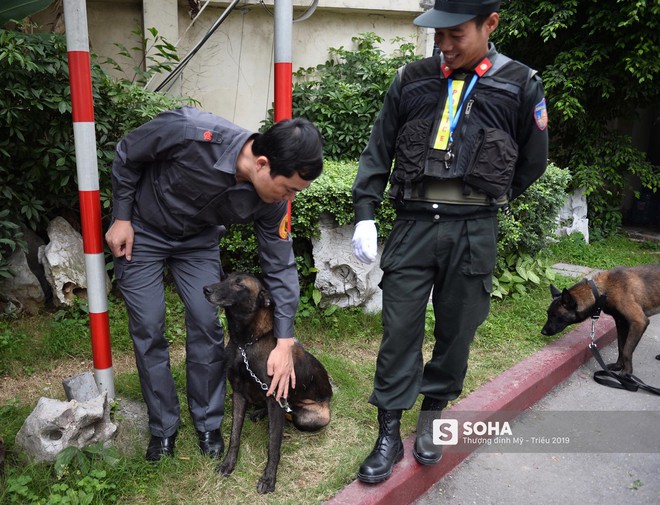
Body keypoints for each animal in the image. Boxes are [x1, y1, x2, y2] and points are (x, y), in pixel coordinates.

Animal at [202, 272, 332, 492]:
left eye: (239, 284)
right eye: (225, 278)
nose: (205, 289)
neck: (245, 344)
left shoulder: (275, 399)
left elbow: (273, 445)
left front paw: (269, 478)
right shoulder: (238, 394)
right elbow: (234, 436)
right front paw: (229, 463)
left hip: (312, 417)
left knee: (291, 417)